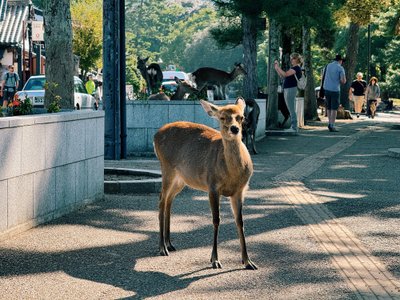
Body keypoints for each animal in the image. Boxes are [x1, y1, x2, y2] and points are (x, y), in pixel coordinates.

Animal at [152, 98, 258, 270]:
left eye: (241, 117)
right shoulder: (212, 186)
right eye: (222, 117)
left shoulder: (240, 190)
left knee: (169, 200)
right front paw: (215, 260)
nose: (234, 129)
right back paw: (162, 248)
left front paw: (248, 261)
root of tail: (155, 136)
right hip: (166, 167)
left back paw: (169, 244)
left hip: (181, 179)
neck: (232, 174)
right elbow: (216, 220)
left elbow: (240, 221)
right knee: (161, 199)